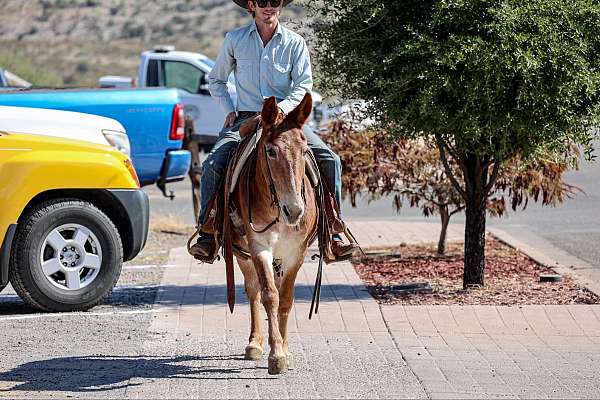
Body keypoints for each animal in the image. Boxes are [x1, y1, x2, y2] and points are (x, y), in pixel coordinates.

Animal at [229, 94, 316, 376]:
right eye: (271, 151)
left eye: (304, 150)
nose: (295, 210)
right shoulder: (259, 248)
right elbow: (269, 295)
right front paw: (276, 353)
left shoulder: (296, 254)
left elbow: (286, 299)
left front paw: (285, 351)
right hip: (242, 254)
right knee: (254, 291)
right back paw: (255, 343)